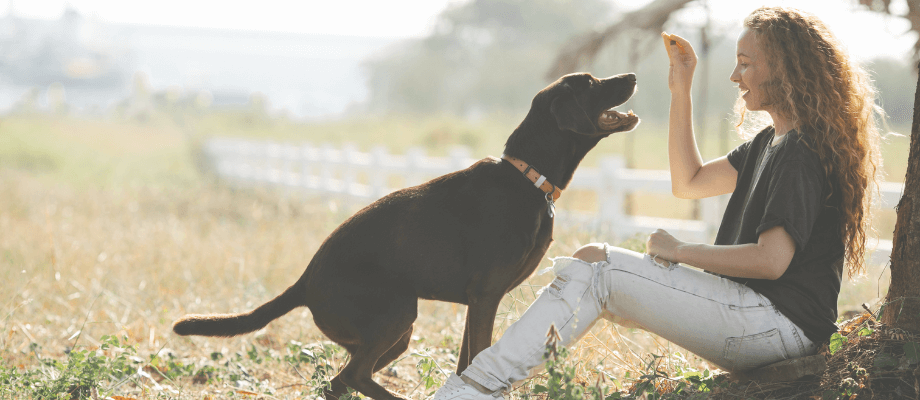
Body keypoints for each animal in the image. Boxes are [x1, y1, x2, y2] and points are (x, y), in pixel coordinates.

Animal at [176, 72, 644, 400]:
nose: (633, 76)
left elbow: (466, 363)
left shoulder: (477, 303)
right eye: (592, 83)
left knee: (340, 382)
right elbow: (478, 358)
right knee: (354, 375)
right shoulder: (486, 295)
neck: (528, 178)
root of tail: (304, 282)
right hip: (396, 314)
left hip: (393, 334)